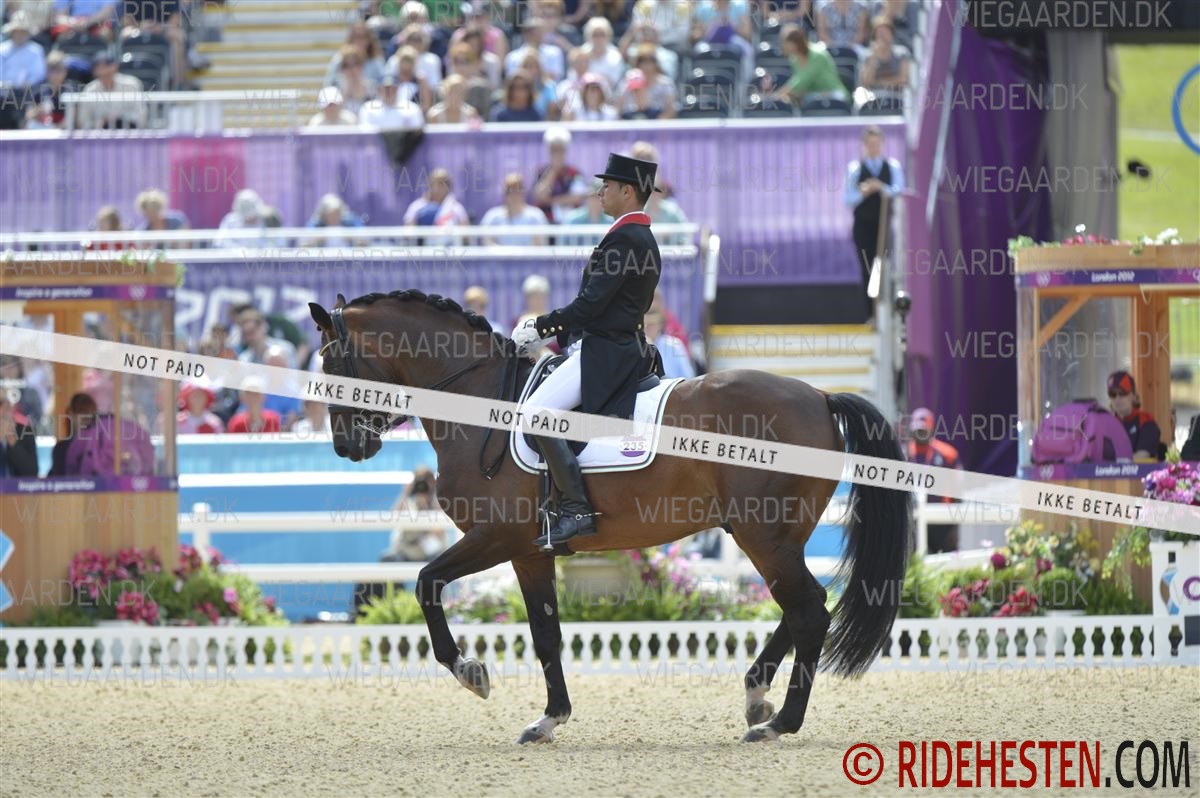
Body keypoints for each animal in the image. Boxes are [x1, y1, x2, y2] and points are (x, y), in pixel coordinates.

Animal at [308, 290, 912, 744]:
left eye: (331, 363)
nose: (345, 447)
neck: (478, 401)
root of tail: (819, 395)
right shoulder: (529, 551)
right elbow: (546, 633)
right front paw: (548, 720)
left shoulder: (496, 537)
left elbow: (426, 581)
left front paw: (472, 673)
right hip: (772, 536)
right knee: (805, 606)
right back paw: (756, 697)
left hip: (763, 534)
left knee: (809, 611)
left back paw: (779, 722)